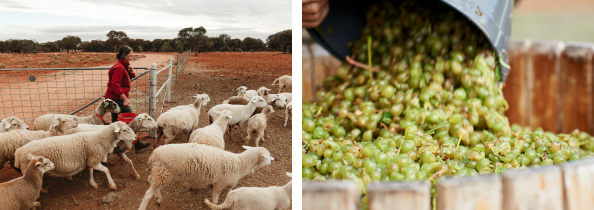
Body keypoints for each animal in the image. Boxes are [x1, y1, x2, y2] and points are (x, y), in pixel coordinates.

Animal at [137, 144, 272, 209]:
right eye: (268, 156)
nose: (272, 161)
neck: (240, 164)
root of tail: (153, 155)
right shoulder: (220, 184)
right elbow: (216, 200)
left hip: (163, 175)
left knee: (151, 182)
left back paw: (158, 198)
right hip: (164, 174)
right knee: (148, 193)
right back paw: (146, 205)